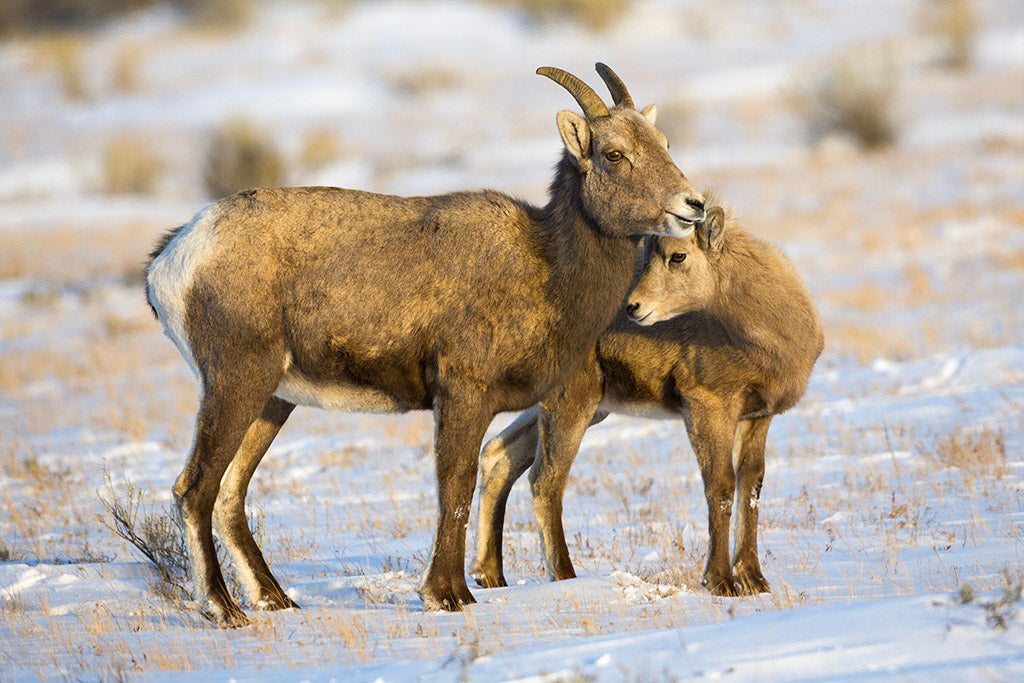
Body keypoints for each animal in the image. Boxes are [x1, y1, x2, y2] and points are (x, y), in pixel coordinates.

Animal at [144, 63, 704, 626]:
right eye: (614, 153)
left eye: (664, 143)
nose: (693, 206)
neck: (548, 269)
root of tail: (174, 256)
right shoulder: (462, 396)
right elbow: (454, 488)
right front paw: (449, 595)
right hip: (236, 385)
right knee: (195, 490)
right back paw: (223, 609)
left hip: (272, 401)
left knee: (229, 494)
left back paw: (274, 599)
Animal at [471, 204, 823, 598]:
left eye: (678, 256)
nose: (633, 307)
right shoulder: (706, 406)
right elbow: (720, 486)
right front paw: (720, 582)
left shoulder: (756, 416)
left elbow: (751, 486)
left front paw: (754, 580)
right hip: (573, 398)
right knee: (545, 478)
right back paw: (564, 575)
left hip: (584, 408)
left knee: (498, 454)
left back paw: (489, 575)